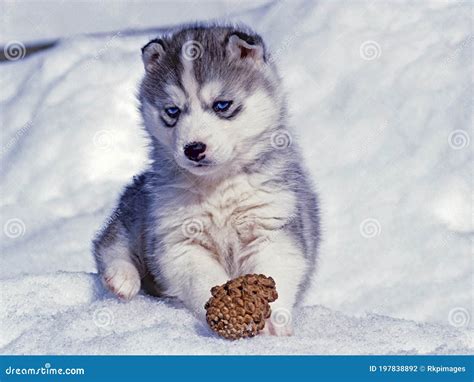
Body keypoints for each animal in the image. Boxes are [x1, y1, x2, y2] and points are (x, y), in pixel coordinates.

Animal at [93, 23, 318, 336]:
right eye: (172, 111)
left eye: (222, 105)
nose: (193, 148)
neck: (218, 187)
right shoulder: (179, 241)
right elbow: (204, 279)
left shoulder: (273, 226)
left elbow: (276, 268)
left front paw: (275, 322)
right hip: (138, 212)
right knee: (110, 243)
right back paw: (121, 277)